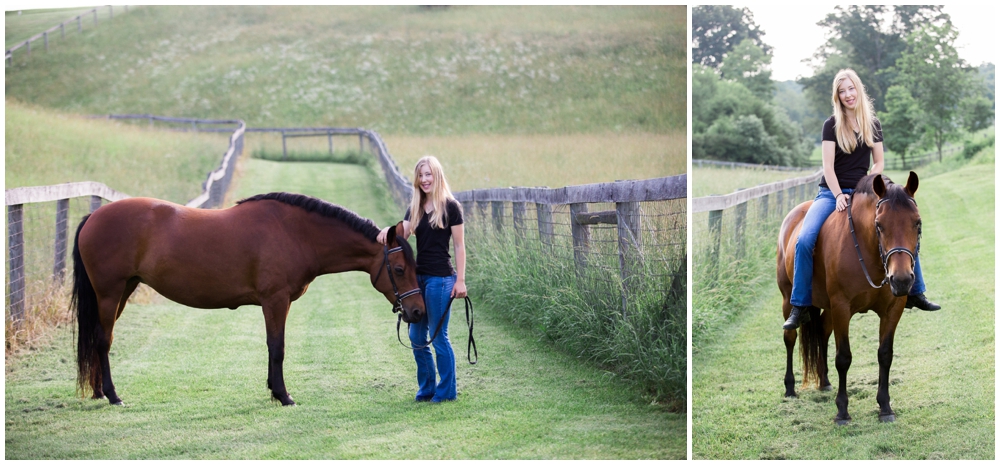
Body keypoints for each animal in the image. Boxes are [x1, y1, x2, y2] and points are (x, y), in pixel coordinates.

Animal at [71, 190, 426, 404]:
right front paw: (283, 396)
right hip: (110, 293)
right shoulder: (275, 301)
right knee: (103, 341)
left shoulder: (275, 303)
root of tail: (94, 217)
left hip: (122, 291)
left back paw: (99, 391)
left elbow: (272, 347)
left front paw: (273, 391)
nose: (418, 312)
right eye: (398, 268)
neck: (295, 232)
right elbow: (277, 347)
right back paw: (113, 395)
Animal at [780, 171, 920, 424]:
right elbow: (843, 358)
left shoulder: (893, 309)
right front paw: (842, 412)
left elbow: (885, 355)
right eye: (879, 225)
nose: (902, 279)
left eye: (917, 222)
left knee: (822, 332)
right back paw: (790, 388)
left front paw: (885, 407)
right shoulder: (841, 308)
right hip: (788, 298)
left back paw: (824, 381)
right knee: (790, 337)